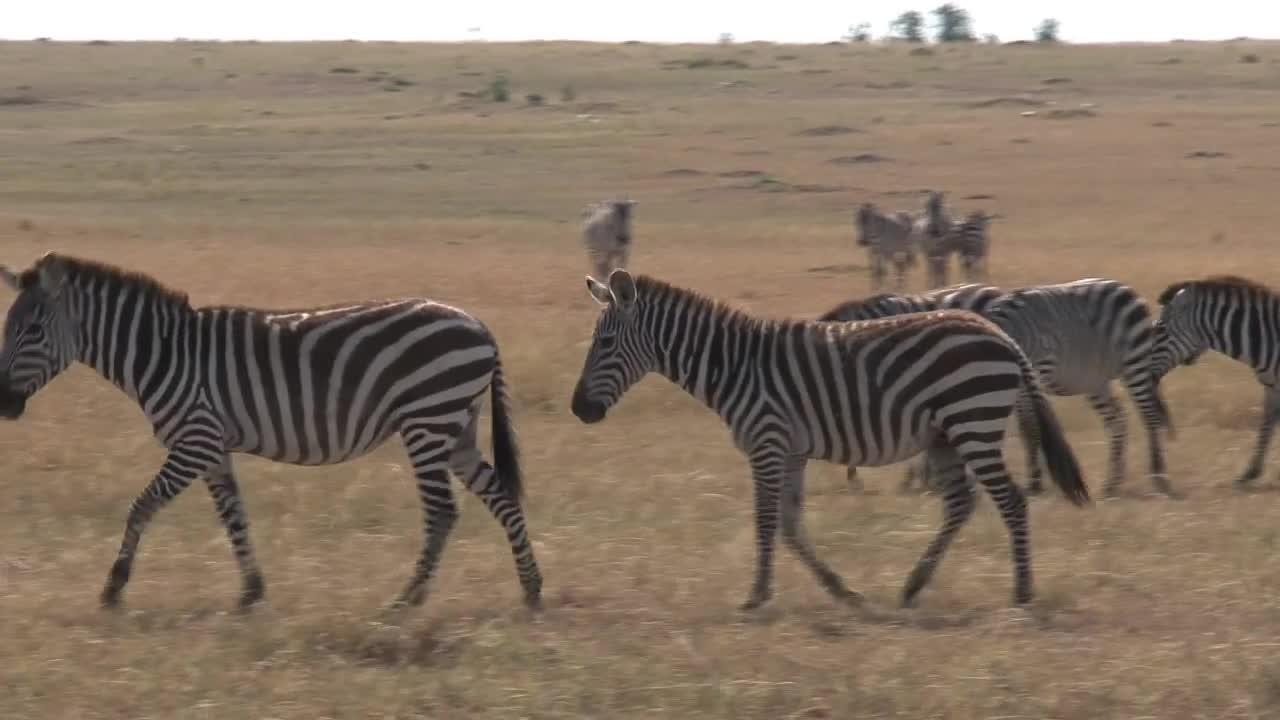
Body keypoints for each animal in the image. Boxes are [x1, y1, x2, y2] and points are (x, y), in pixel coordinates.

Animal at [0, 252, 543, 612]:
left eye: (32, 331)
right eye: (9, 328)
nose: (3, 404)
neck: (164, 352)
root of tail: (479, 326)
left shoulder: (194, 438)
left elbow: (142, 505)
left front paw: (114, 586)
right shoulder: (213, 446)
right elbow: (234, 517)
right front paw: (251, 591)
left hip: (428, 422)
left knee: (443, 512)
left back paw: (409, 598)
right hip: (455, 429)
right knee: (500, 496)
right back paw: (531, 587)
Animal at [571, 268, 1089, 611]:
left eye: (605, 343)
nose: (579, 409)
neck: (732, 364)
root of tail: (996, 331)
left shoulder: (767, 442)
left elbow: (765, 520)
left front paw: (756, 595)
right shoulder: (791, 451)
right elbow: (789, 524)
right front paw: (841, 590)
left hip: (972, 422)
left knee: (1011, 501)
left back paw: (1022, 591)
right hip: (945, 434)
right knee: (962, 504)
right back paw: (913, 585)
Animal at [1151, 275, 1280, 487]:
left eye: (1160, 330)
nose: (1148, 373)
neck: (1267, 340)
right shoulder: (1271, 389)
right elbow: (1266, 428)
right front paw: (1250, 473)